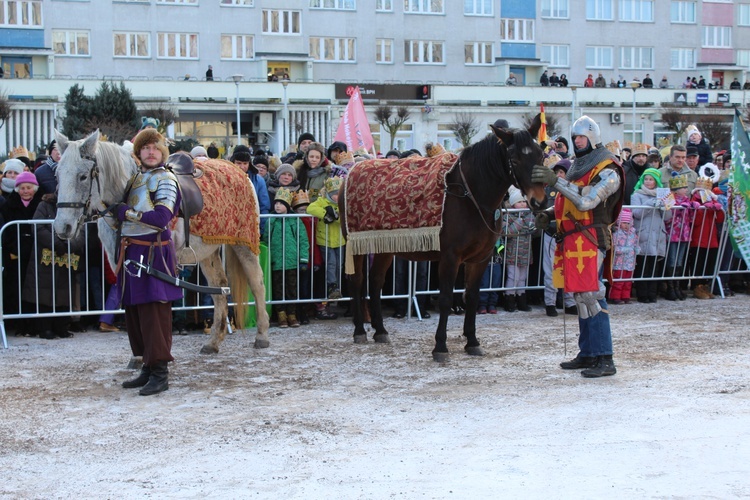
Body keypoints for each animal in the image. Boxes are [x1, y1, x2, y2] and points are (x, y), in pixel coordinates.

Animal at [52, 131, 270, 354]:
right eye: (57, 175)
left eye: (82, 176)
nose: (62, 227)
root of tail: (239, 171)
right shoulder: (120, 261)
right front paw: (139, 356)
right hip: (207, 251)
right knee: (219, 288)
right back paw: (213, 341)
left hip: (244, 244)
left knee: (257, 283)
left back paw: (261, 335)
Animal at [340, 119, 548, 362]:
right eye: (514, 160)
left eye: (540, 155)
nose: (540, 201)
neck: (469, 195)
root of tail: (351, 172)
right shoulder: (450, 257)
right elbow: (447, 299)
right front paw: (440, 346)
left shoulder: (480, 258)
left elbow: (472, 297)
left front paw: (472, 341)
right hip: (355, 245)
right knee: (357, 281)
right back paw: (359, 330)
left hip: (385, 246)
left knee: (375, 281)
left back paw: (380, 330)